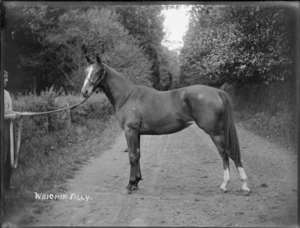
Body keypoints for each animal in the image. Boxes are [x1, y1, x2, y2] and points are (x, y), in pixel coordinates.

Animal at [80, 55, 251, 196]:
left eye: (98, 72)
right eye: (86, 71)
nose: (84, 92)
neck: (127, 96)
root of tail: (217, 92)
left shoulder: (130, 131)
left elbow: (132, 156)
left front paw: (130, 185)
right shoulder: (137, 133)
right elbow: (138, 154)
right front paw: (136, 182)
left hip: (215, 132)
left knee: (227, 154)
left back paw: (231, 186)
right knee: (230, 154)